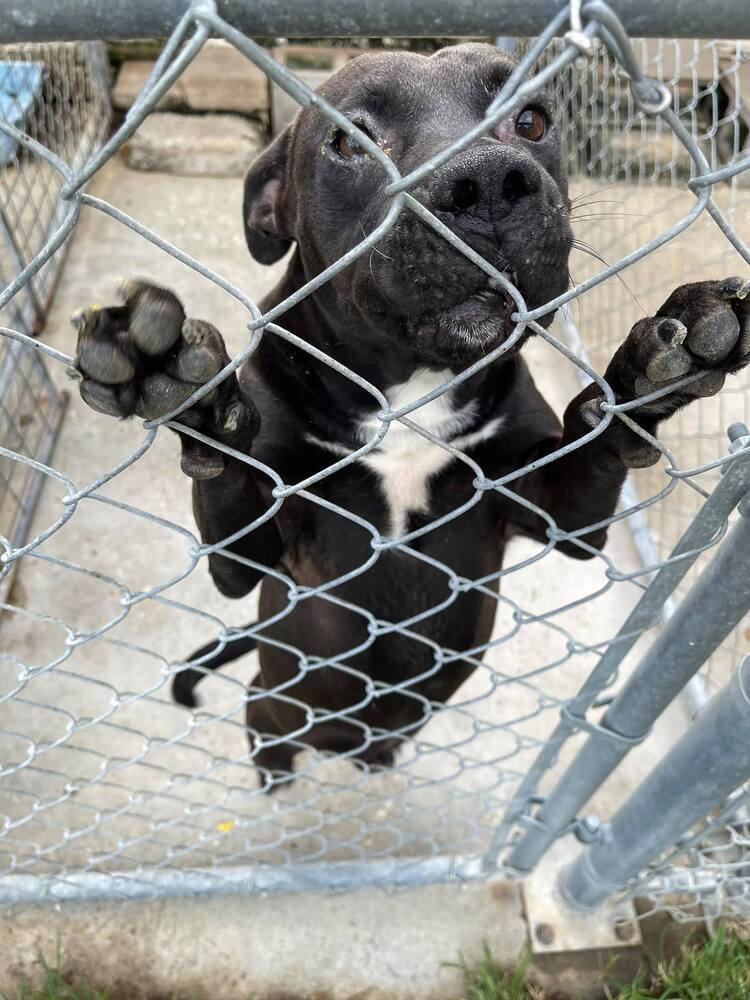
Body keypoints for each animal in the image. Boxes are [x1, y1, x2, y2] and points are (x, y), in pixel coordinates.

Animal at [75, 45, 750, 780]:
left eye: (532, 119)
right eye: (349, 141)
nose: (489, 182)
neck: (411, 390)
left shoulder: (564, 518)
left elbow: (594, 436)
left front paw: (652, 365)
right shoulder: (246, 562)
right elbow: (232, 486)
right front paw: (193, 393)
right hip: (274, 697)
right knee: (261, 715)